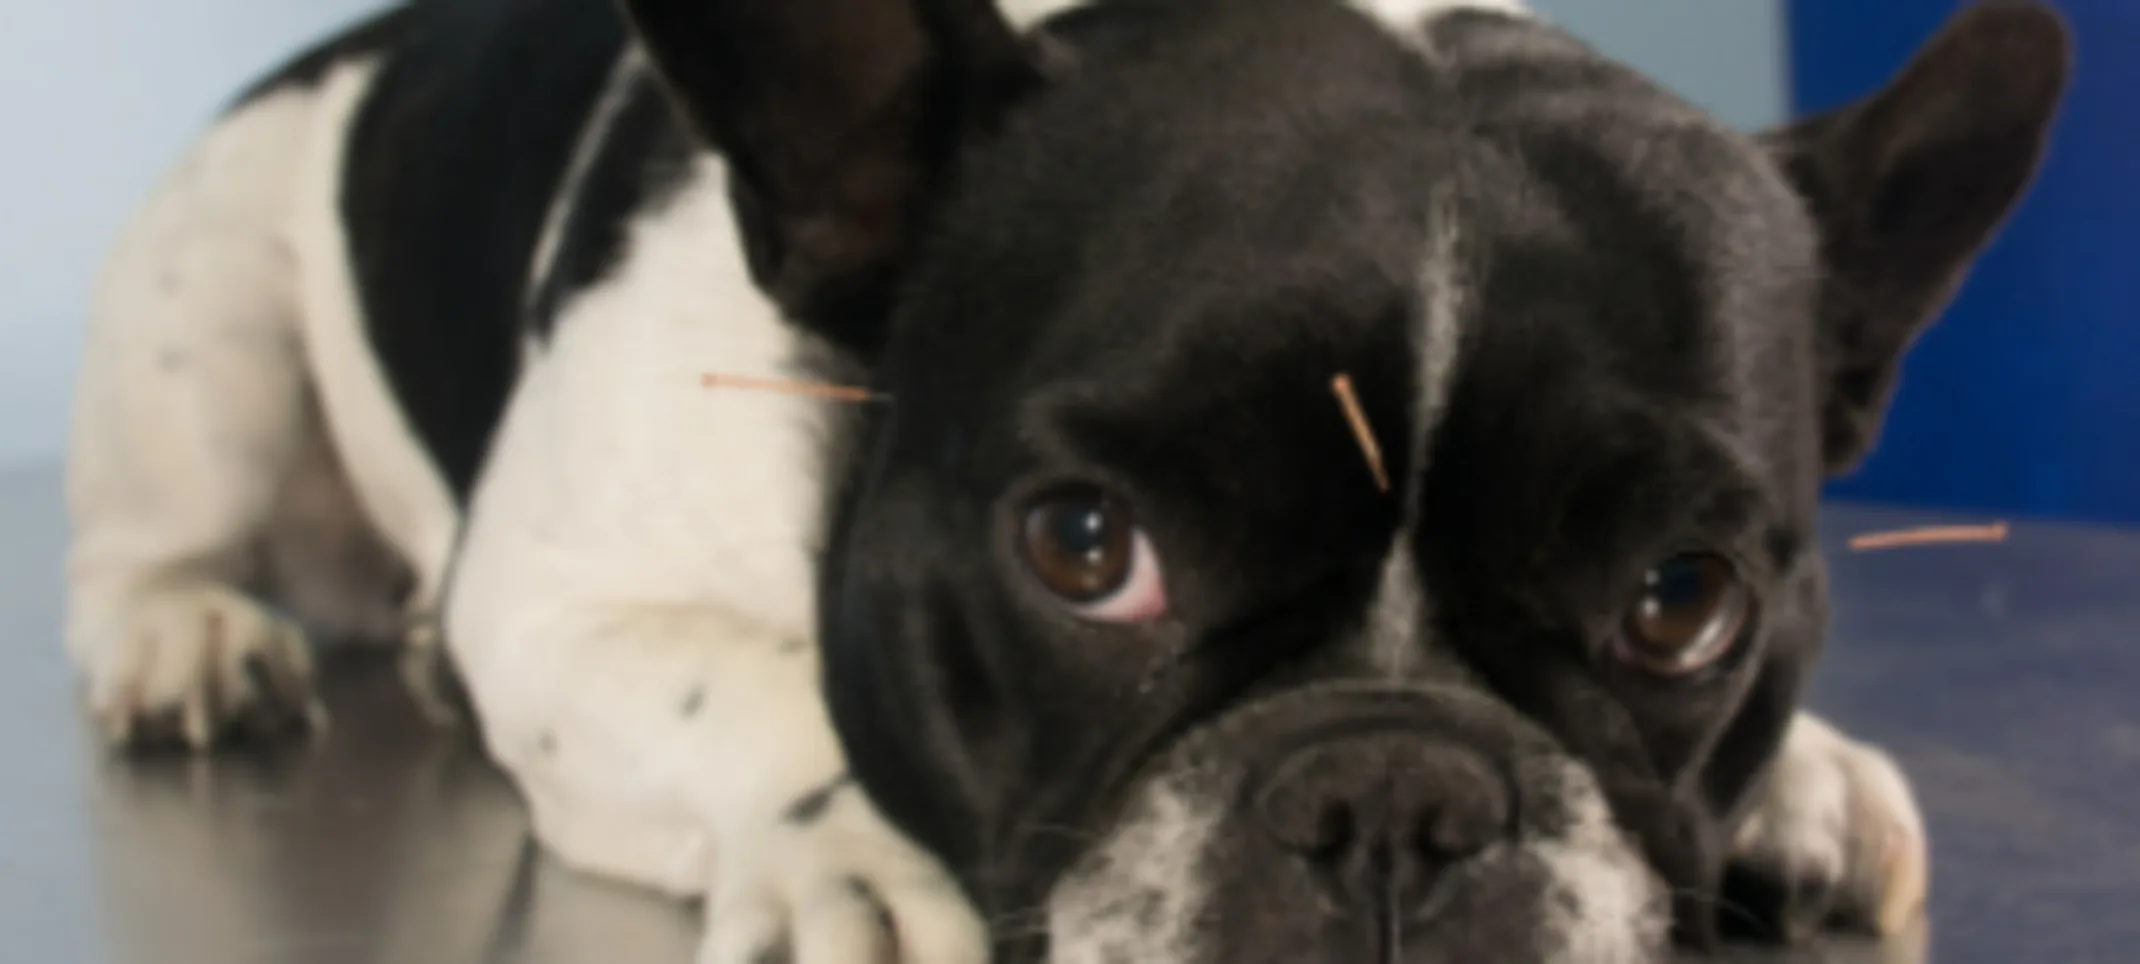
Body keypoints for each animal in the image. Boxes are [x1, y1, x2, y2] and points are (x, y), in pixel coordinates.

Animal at [71, 0, 2071, 959]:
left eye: (1683, 600)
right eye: (1085, 549)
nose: (1400, 794)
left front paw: (1803, 775)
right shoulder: (558, 601)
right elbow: (762, 694)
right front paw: (863, 857)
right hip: (207, 334)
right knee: (151, 529)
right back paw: (182, 636)